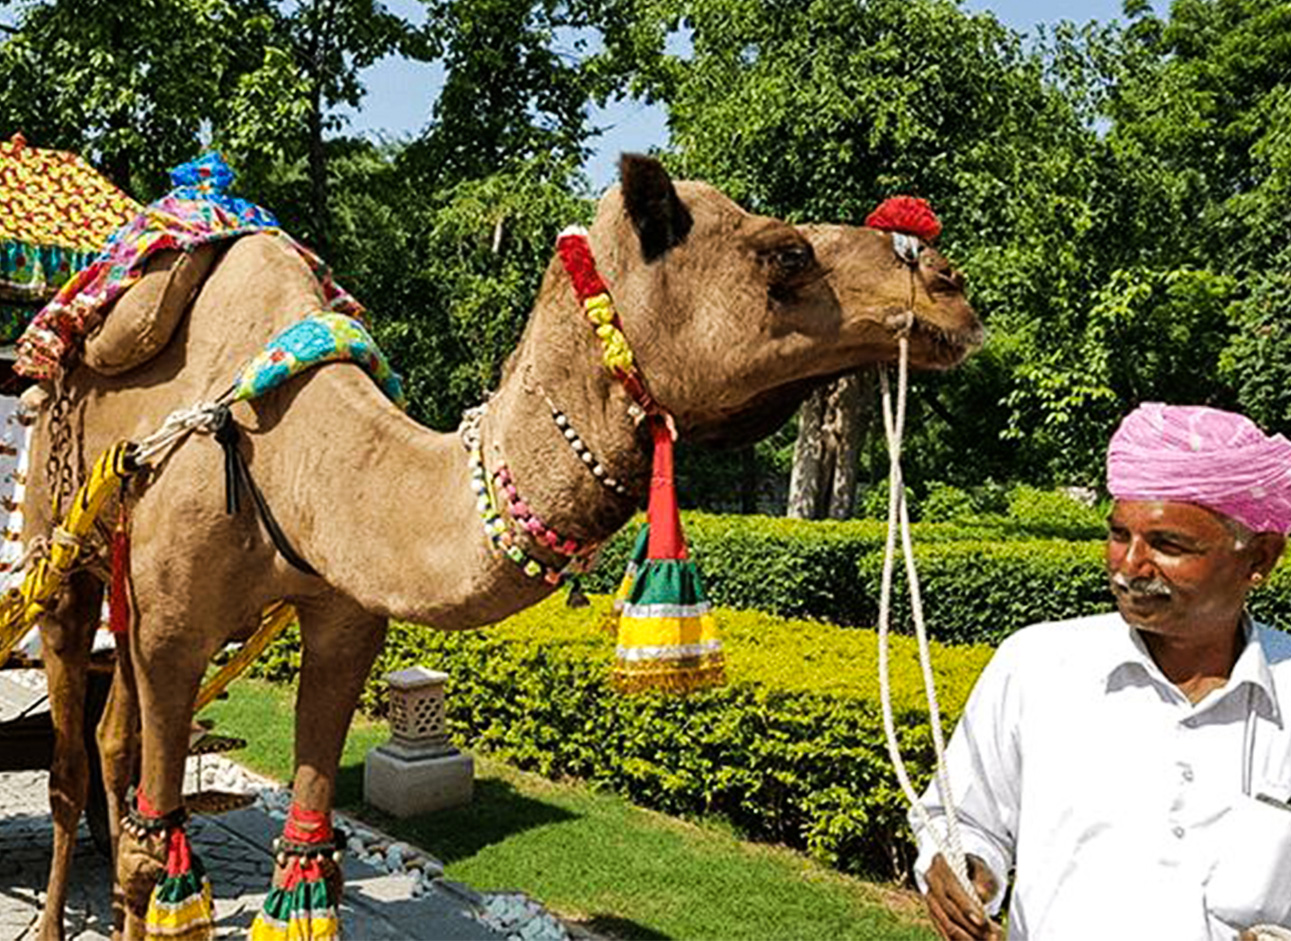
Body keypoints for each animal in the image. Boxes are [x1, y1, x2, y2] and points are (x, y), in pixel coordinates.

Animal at [30, 156, 975, 939]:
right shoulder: (175, 626)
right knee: (73, 760)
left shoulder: (342, 622)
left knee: (113, 743)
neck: (291, 450)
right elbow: (155, 847)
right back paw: (50, 921)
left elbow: (307, 855)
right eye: (784, 253)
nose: (949, 287)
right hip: (62, 545)